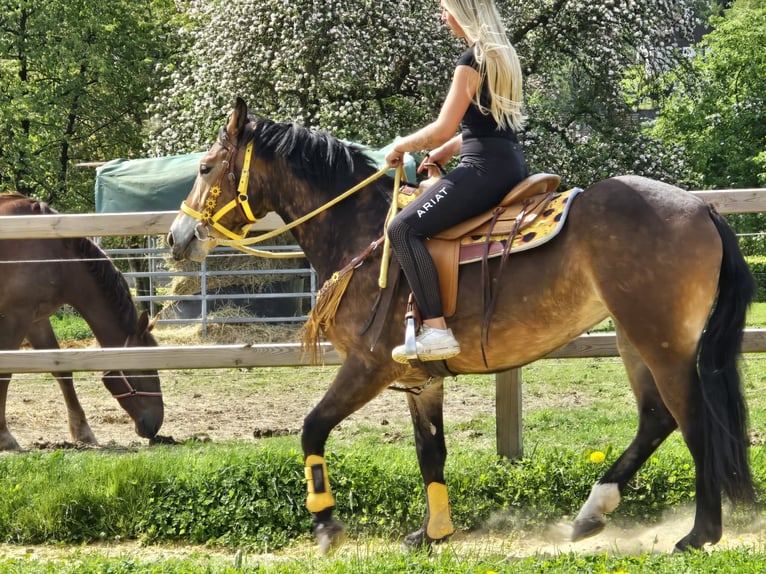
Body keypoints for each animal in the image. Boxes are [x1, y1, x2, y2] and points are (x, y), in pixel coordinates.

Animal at [0, 192, 164, 450]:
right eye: (146, 368)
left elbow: (62, 372)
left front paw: (83, 431)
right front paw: (4, 436)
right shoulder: (16, 316)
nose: (156, 424)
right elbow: (5, 374)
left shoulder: (37, 320)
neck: (56, 255)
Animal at [167, 98, 755, 553]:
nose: (177, 238)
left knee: (693, 419)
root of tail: (700, 209)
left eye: (204, 168)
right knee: (657, 417)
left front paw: (325, 521)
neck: (364, 234)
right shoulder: (419, 378)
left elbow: (313, 426)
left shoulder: (368, 366)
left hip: (662, 341)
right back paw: (591, 513)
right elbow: (431, 452)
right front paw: (434, 532)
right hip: (634, 338)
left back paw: (699, 534)